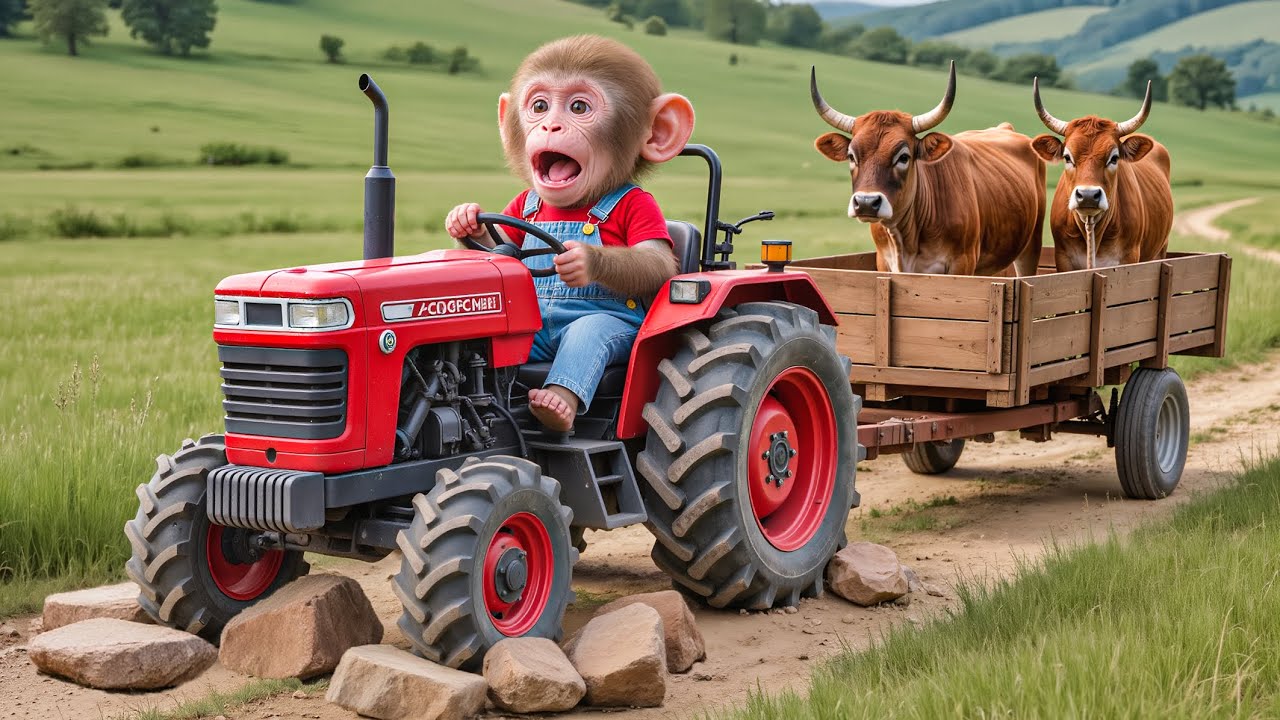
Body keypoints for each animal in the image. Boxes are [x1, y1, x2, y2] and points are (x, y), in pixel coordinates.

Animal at [446, 35, 695, 432]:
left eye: (579, 107)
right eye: (539, 106)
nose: (550, 127)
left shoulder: (642, 207)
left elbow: (654, 260)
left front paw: (582, 258)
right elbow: (506, 238)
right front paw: (464, 218)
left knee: (585, 339)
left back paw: (554, 405)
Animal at [811, 62, 1046, 276]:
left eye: (903, 157)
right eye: (851, 156)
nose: (866, 203)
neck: (906, 241)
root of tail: (1005, 128)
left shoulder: (962, 264)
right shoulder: (884, 263)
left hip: (1030, 247)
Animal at [1031, 78, 1173, 271]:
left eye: (1114, 158)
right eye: (1067, 157)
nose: (1088, 195)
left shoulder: (1129, 258)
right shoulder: (1063, 258)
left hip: (1161, 249)